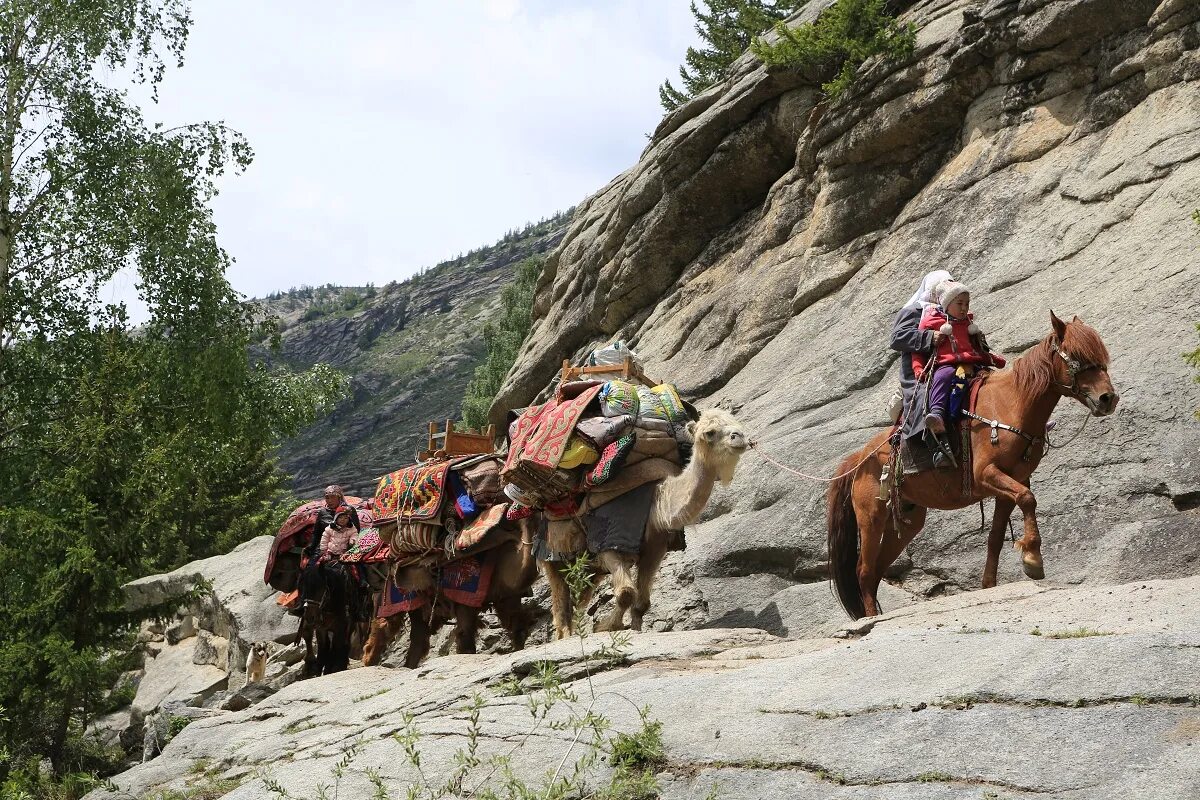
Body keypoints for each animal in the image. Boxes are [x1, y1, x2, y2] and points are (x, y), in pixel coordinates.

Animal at [544, 407, 748, 638]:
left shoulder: (655, 548)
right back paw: (564, 635)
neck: (655, 505)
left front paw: (633, 629)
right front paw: (605, 627)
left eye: (735, 423)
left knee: (578, 595)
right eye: (710, 432)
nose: (739, 437)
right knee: (560, 595)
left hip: (587, 566)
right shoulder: (608, 542)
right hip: (549, 551)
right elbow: (625, 592)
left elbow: (642, 603)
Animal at [825, 311, 1113, 618]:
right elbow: (1028, 499)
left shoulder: (1011, 482)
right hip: (871, 517)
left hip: (906, 520)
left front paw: (990, 583)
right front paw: (1033, 559)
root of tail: (859, 458)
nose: (1108, 398)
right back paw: (870, 618)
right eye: (1076, 356)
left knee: (877, 570)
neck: (1012, 403)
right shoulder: (986, 474)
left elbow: (998, 534)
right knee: (865, 570)